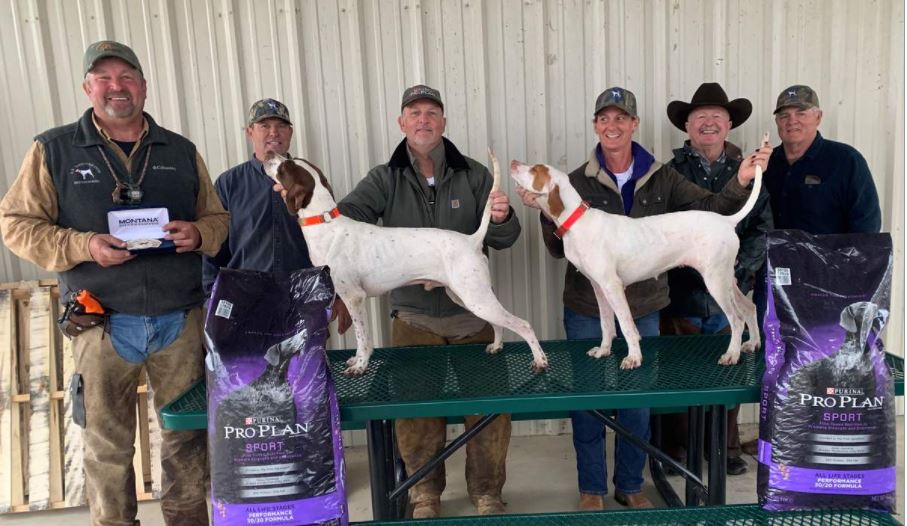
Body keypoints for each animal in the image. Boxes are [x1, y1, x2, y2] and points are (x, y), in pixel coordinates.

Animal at [262, 152, 548, 376]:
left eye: (285, 166)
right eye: (287, 159)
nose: (268, 155)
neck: (325, 223)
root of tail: (472, 240)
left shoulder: (354, 297)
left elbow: (363, 338)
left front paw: (361, 364)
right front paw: (356, 361)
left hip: (476, 296)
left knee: (522, 324)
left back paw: (540, 360)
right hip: (466, 296)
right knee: (499, 323)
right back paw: (497, 346)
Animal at [516, 159, 764, 370]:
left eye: (535, 170)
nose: (512, 163)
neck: (578, 222)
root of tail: (726, 220)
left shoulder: (613, 286)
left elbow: (626, 325)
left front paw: (633, 358)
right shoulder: (598, 287)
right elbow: (606, 324)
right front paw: (604, 351)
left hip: (715, 281)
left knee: (737, 319)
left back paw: (731, 355)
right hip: (726, 279)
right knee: (749, 308)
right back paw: (753, 344)